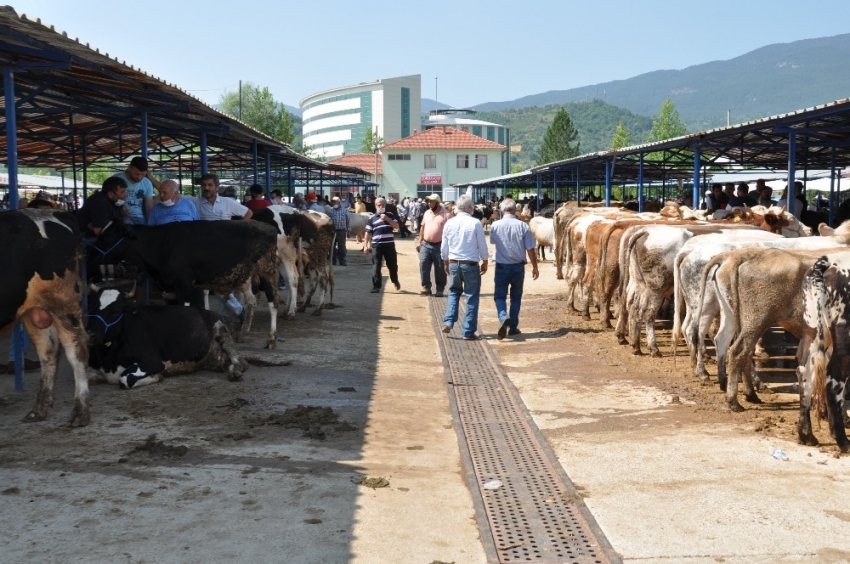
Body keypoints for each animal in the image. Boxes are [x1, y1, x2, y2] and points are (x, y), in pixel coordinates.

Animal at [0, 209, 90, 426]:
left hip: (64, 303)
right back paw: (38, 410)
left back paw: (80, 412)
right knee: (48, 352)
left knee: (77, 352)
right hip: (34, 311)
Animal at [87, 288, 248, 390]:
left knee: (241, 361)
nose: (90, 334)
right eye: (92, 308)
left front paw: (157, 377)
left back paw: (235, 371)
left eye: (115, 312)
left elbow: (125, 379)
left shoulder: (152, 361)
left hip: (222, 330)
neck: (108, 359)